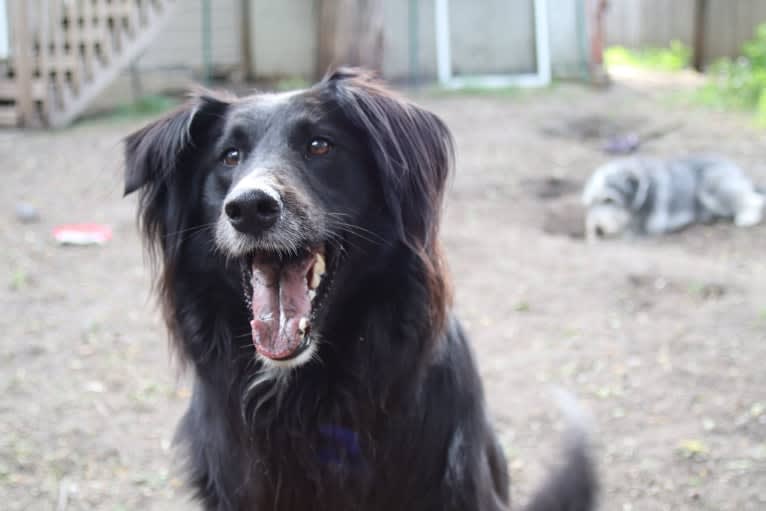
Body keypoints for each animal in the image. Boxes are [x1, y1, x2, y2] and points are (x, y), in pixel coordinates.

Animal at [584, 155, 764, 241]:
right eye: (591, 202)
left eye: (609, 199)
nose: (598, 230)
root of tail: (736, 168)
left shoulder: (645, 229)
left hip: (712, 186)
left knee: (755, 200)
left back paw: (747, 217)